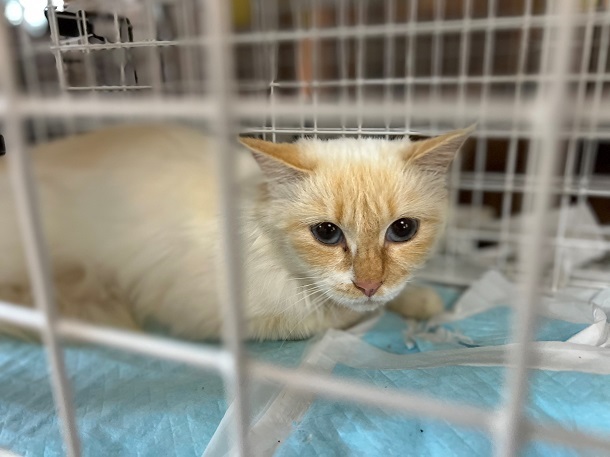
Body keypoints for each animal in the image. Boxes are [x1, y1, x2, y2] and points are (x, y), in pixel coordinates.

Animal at [0, 123, 473, 341]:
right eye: (326, 233)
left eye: (403, 230)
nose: (370, 284)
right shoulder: (215, 315)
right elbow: (333, 315)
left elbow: (389, 297)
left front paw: (419, 300)